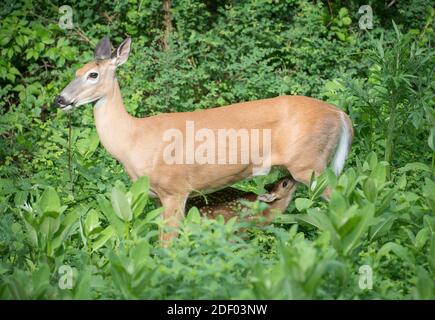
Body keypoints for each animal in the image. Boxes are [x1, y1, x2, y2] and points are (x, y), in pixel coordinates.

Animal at [54, 36, 354, 244]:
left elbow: (167, 244)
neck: (133, 140)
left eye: (93, 74)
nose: (60, 99)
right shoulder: (156, 196)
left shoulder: (175, 190)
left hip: (310, 164)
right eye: (76, 72)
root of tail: (339, 113)